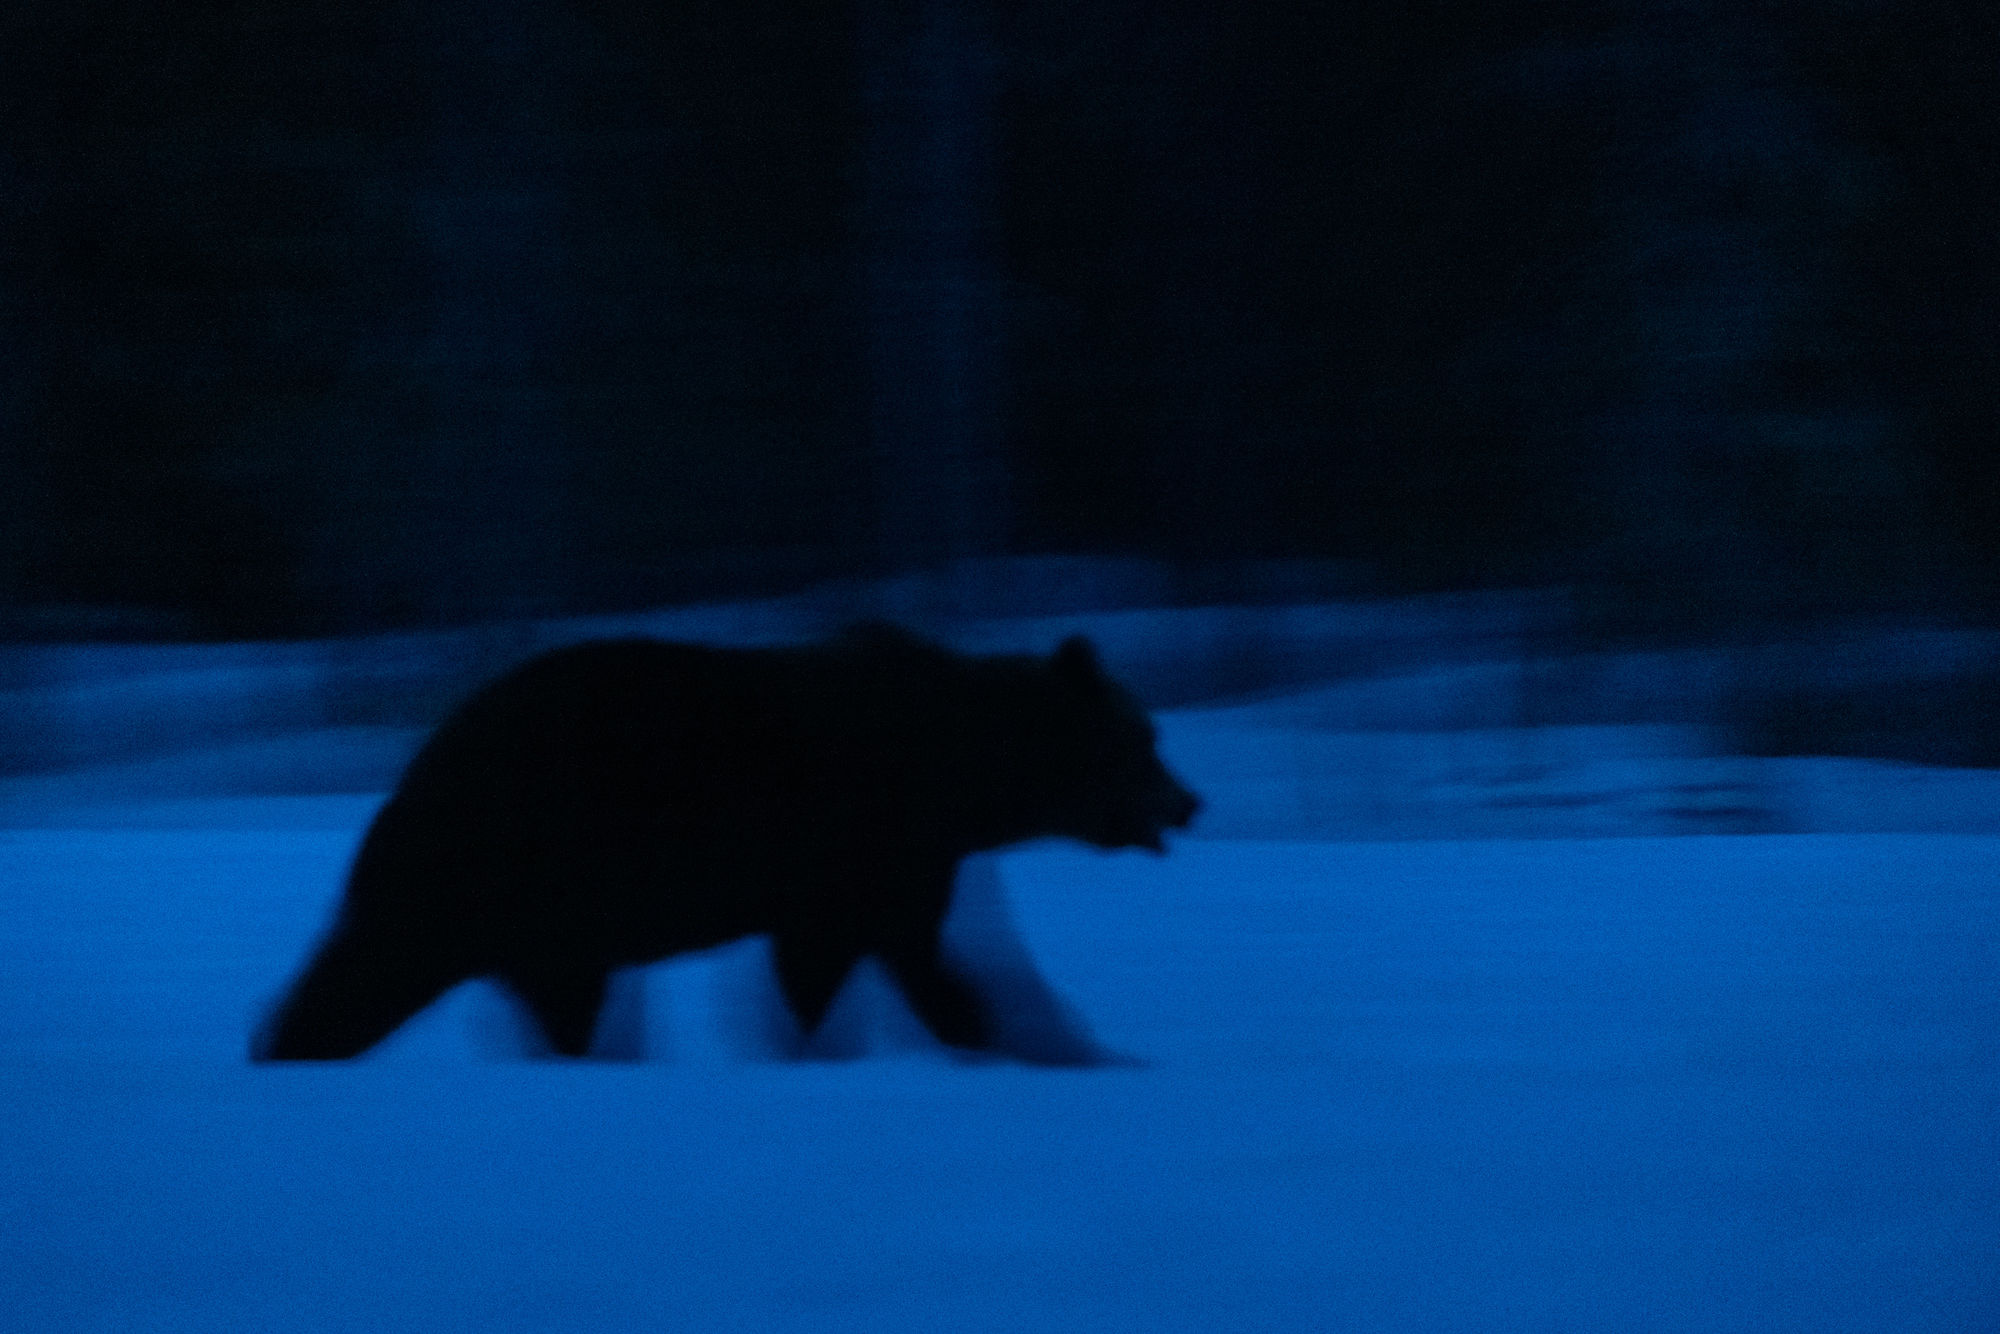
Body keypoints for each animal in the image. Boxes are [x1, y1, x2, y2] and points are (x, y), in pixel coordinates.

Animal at [252, 624, 1200, 1063]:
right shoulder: (864, 839)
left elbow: (887, 959)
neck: (963, 776)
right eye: (1144, 740)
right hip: (521, 862)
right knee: (381, 968)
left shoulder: (893, 864)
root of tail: (413, 775)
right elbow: (848, 957)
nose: (1191, 801)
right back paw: (289, 1046)